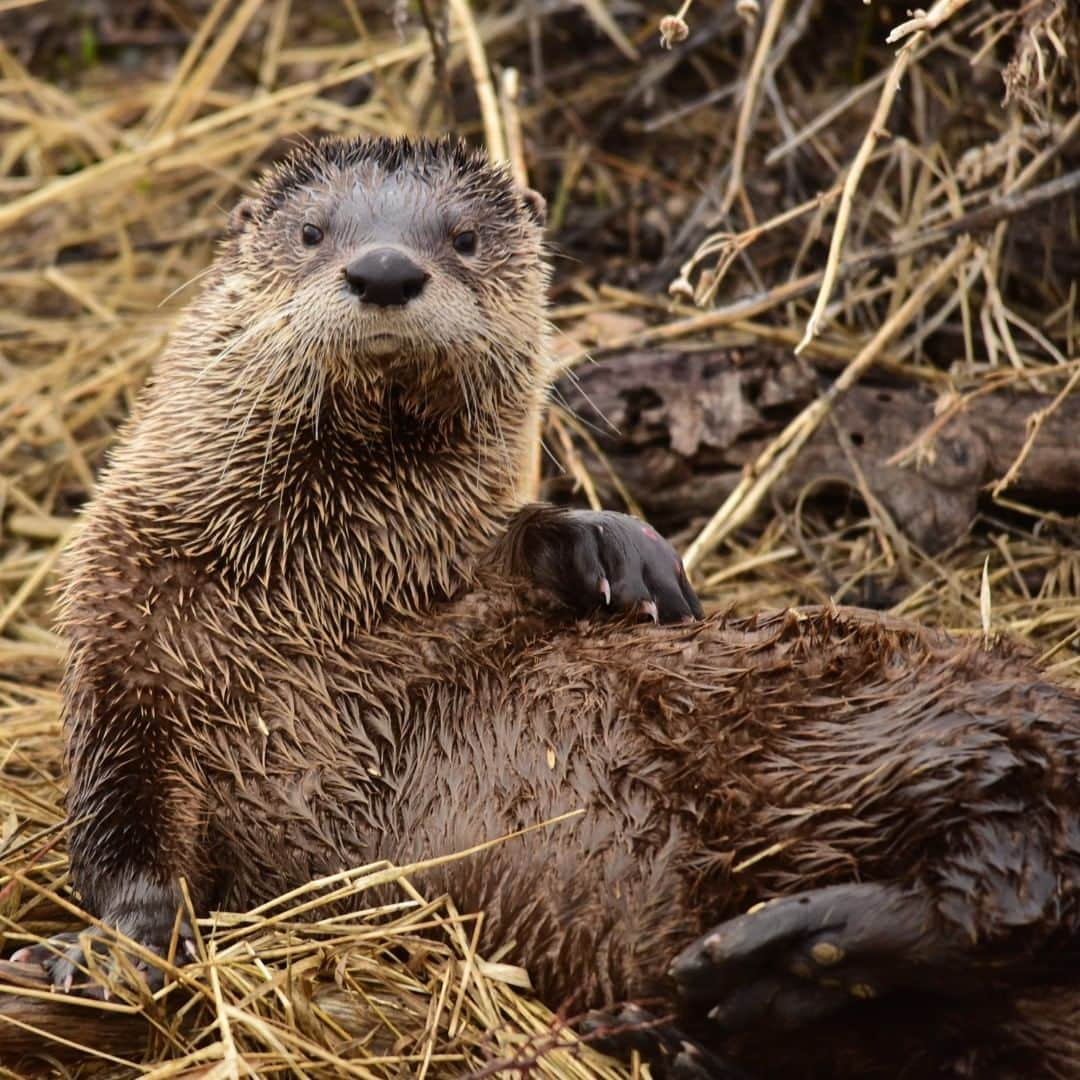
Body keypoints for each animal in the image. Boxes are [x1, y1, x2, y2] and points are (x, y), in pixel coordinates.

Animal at [10, 139, 1080, 1075]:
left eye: (462, 236)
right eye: (313, 232)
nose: (386, 269)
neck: (310, 600)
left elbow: (525, 539)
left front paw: (621, 551)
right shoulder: (123, 652)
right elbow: (123, 847)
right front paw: (95, 956)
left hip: (892, 723)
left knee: (1011, 873)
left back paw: (775, 956)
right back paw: (731, 1003)